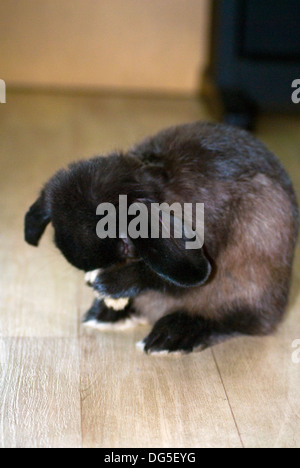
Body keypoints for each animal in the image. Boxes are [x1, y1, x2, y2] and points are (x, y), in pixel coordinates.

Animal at [24, 122, 298, 352]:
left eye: (127, 246)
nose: (93, 281)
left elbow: (163, 278)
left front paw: (108, 284)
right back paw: (106, 315)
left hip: (247, 285)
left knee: (239, 321)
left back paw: (172, 336)